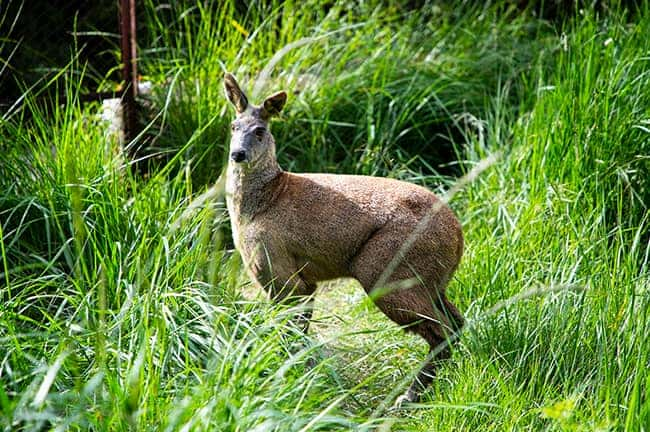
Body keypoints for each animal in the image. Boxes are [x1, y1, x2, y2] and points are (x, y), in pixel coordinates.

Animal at [225, 72, 464, 404]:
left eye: (260, 131)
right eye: (233, 126)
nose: (238, 154)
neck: (261, 204)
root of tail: (459, 236)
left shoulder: (281, 271)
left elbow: (292, 332)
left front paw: (288, 378)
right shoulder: (299, 280)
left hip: (385, 271)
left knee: (442, 332)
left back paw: (407, 397)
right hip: (432, 282)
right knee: (457, 323)